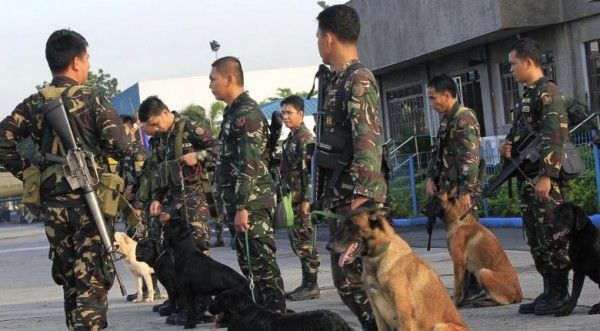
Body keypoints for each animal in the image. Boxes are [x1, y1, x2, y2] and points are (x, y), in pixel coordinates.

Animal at [326, 209, 466, 330]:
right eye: (340, 225)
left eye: (351, 225)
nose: (328, 246)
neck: (377, 260)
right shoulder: (379, 315)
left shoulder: (405, 315)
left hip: (440, 326)